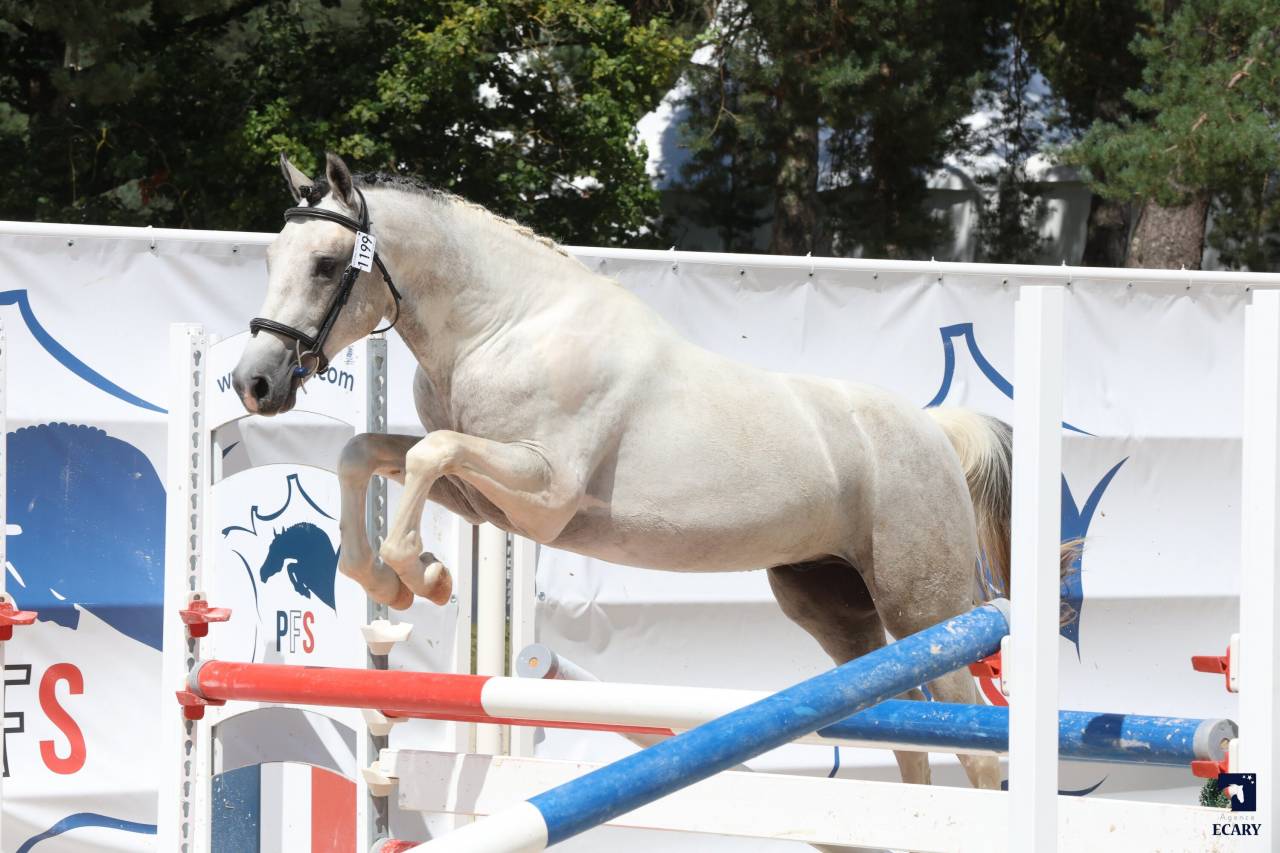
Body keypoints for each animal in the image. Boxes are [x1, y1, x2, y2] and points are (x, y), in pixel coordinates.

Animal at [232, 152, 1020, 790]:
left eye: (326, 266)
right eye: (268, 261)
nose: (254, 383)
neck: (501, 327)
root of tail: (936, 429)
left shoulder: (543, 491)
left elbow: (429, 454)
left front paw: (421, 576)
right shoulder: (488, 498)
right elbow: (367, 451)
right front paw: (393, 577)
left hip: (926, 605)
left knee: (974, 746)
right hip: (832, 607)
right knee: (908, 735)